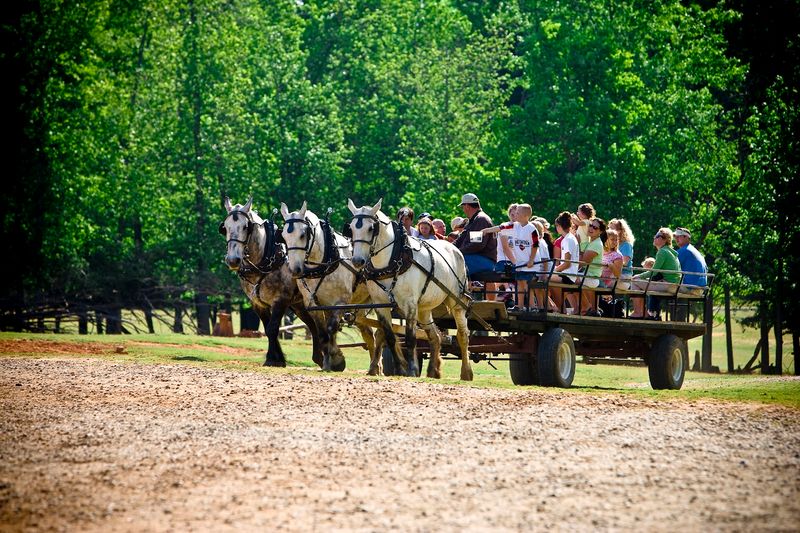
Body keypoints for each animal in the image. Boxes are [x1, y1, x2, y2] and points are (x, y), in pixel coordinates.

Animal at [219, 197, 324, 368]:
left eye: (245, 227)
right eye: (225, 228)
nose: (233, 260)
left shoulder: (280, 300)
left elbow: (272, 328)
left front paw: (272, 359)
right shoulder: (257, 304)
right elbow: (268, 328)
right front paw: (277, 358)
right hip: (299, 305)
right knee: (312, 324)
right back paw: (319, 357)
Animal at [280, 201, 376, 373]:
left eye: (303, 234)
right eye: (283, 236)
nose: (295, 269)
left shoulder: (340, 303)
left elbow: (331, 329)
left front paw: (337, 359)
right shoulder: (314, 305)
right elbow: (323, 333)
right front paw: (327, 363)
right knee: (369, 333)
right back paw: (374, 368)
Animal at [346, 198, 474, 381]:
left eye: (371, 228)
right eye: (351, 228)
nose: (357, 260)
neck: (392, 260)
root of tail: (454, 249)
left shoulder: (410, 304)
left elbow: (410, 338)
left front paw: (412, 369)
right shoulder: (381, 305)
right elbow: (390, 337)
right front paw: (401, 367)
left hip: (456, 302)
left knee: (463, 335)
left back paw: (466, 372)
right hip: (424, 309)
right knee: (435, 336)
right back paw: (433, 370)